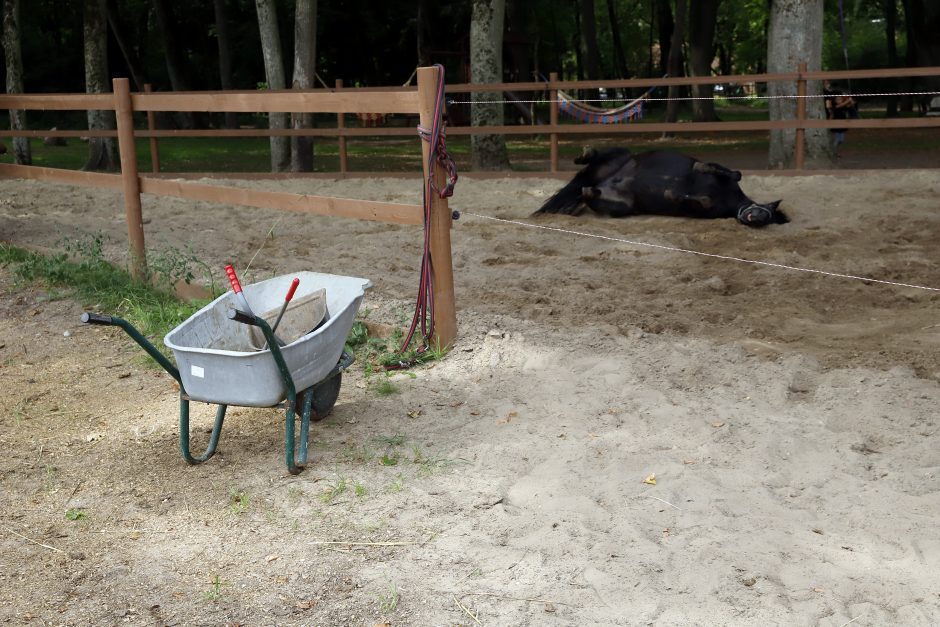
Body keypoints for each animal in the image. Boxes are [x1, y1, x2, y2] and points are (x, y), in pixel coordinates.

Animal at [532, 148, 788, 228]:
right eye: (767, 210)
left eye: (768, 218)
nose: (754, 218)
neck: (730, 200)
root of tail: (600, 182)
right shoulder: (723, 175)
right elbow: (733, 172)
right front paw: (700, 166)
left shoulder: (701, 209)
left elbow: (699, 200)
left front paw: (672, 194)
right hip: (618, 156)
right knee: (595, 157)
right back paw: (585, 154)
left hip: (622, 206)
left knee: (588, 195)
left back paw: (589, 191)